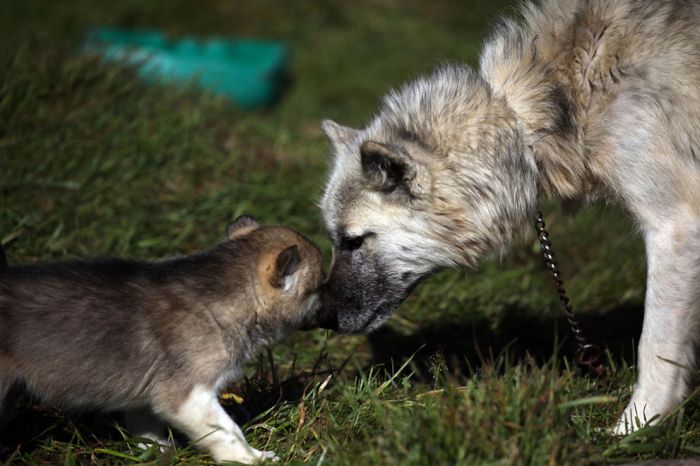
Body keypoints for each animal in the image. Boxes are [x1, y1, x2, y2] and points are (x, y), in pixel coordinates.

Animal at [318, 0, 700, 434]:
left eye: (353, 241)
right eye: (334, 240)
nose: (324, 319)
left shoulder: (675, 226)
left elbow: (653, 344)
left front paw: (634, 429)